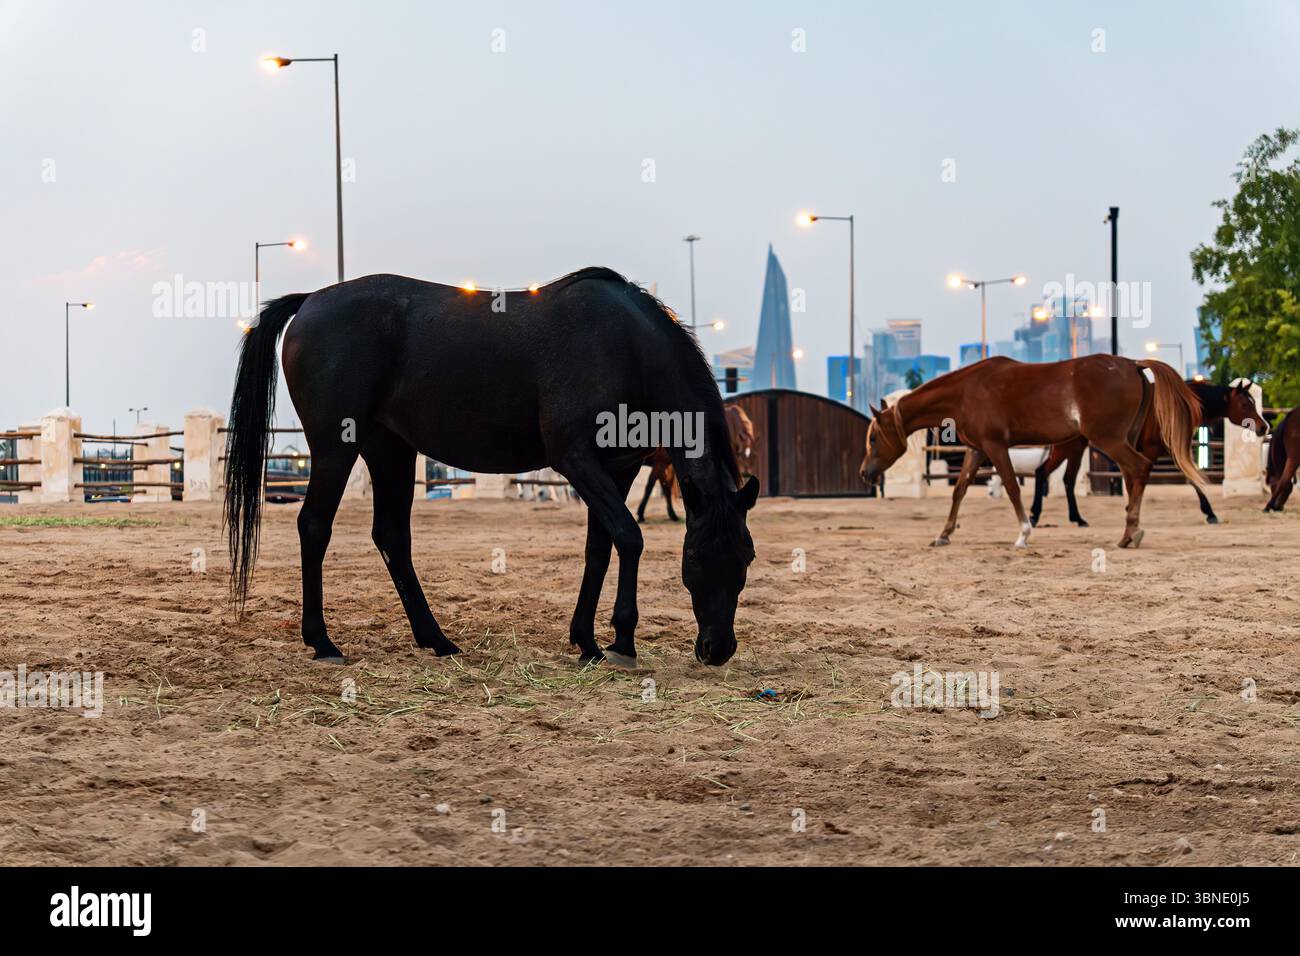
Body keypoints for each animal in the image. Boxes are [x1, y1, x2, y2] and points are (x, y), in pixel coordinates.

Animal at [224, 268, 759, 669]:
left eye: (747, 558)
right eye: (695, 560)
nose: (718, 649)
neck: (624, 345)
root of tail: (310, 300)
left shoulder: (619, 467)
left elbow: (601, 549)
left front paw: (587, 640)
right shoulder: (576, 459)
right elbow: (630, 538)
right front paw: (622, 642)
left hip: (390, 449)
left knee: (391, 535)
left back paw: (436, 639)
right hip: (336, 447)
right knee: (315, 526)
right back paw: (323, 641)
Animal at [859, 355, 1206, 549]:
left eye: (874, 438)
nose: (865, 473)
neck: (966, 392)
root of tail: (1133, 364)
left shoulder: (996, 447)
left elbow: (1012, 488)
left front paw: (1024, 533)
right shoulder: (976, 449)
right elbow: (959, 490)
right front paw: (943, 534)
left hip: (1109, 439)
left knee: (1138, 469)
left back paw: (1129, 532)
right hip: (1122, 439)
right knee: (1133, 476)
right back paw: (1129, 530)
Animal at [1029, 379, 1270, 527]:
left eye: (1253, 402)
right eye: (1244, 404)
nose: (1263, 427)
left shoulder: (1170, 449)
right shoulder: (1152, 450)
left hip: (1076, 448)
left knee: (1066, 479)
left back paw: (1077, 518)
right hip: (1069, 447)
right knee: (1045, 473)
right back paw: (1035, 515)